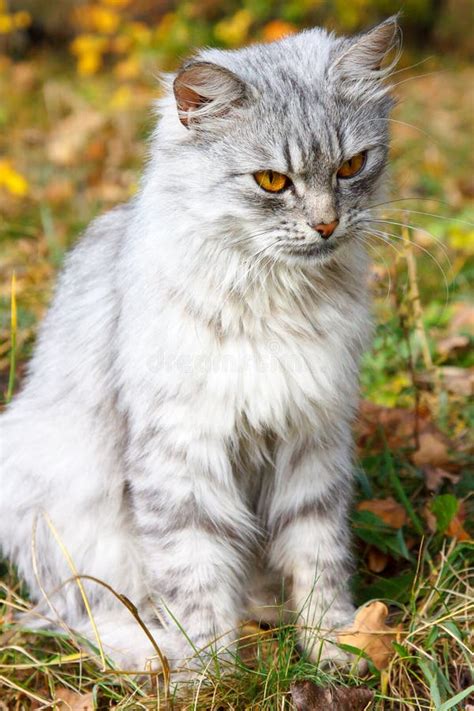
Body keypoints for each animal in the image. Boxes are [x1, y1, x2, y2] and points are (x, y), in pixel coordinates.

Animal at [0, 18, 400, 680]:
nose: (326, 225)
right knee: (84, 615)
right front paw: (212, 679)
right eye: (272, 181)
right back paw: (155, 653)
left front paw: (330, 648)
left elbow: (318, 559)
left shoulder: (313, 440)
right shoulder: (182, 453)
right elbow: (196, 579)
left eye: (352, 166)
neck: (275, 302)